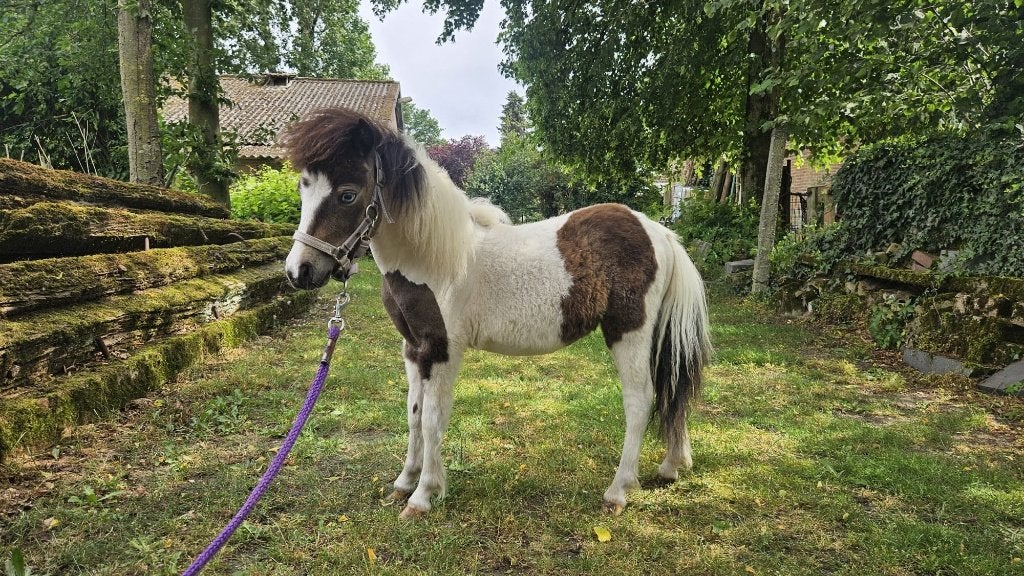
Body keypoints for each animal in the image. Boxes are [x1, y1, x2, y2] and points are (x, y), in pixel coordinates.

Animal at [281, 108, 712, 518]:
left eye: (348, 195)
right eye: (303, 187)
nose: (298, 271)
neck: (435, 258)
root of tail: (661, 233)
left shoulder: (442, 350)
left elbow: (433, 418)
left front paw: (423, 497)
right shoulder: (413, 349)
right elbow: (414, 414)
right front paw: (405, 481)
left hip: (628, 332)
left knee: (640, 400)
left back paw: (618, 491)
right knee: (671, 388)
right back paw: (672, 466)